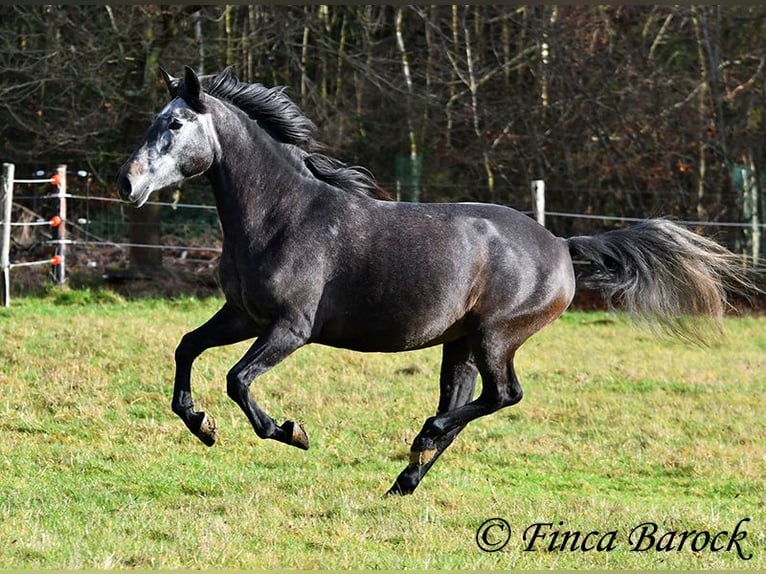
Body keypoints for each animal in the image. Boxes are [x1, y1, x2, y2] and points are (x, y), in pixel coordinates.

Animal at [117, 64, 752, 496]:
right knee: (469, 402)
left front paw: (291, 431)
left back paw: (421, 439)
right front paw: (201, 426)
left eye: (175, 123)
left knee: (501, 396)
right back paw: (405, 478)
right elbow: (187, 349)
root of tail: (563, 247)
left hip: (496, 337)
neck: (282, 214)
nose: (128, 184)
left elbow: (238, 380)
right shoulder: (243, 315)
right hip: (461, 344)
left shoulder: (289, 329)